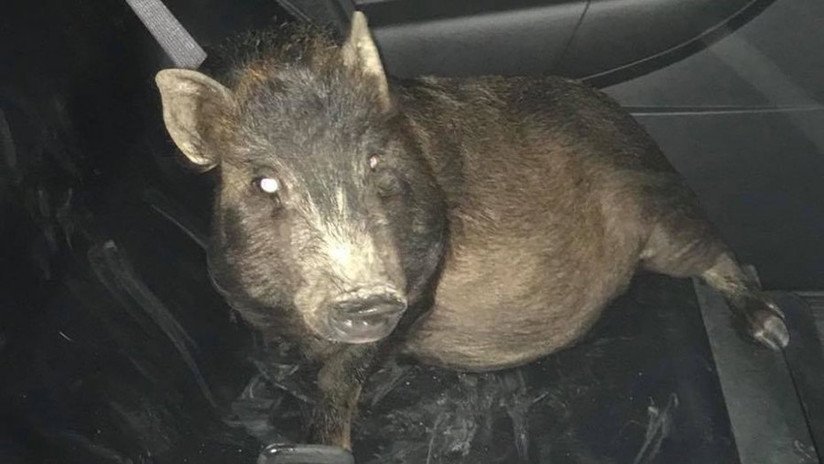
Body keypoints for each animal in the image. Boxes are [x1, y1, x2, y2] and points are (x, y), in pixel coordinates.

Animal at [154, 12, 789, 461]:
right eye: (264, 182)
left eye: (376, 161)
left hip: (664, 215)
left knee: (720, 252)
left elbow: (343, 375)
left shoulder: (422, 269)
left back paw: (774, 333)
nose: (367, 297)